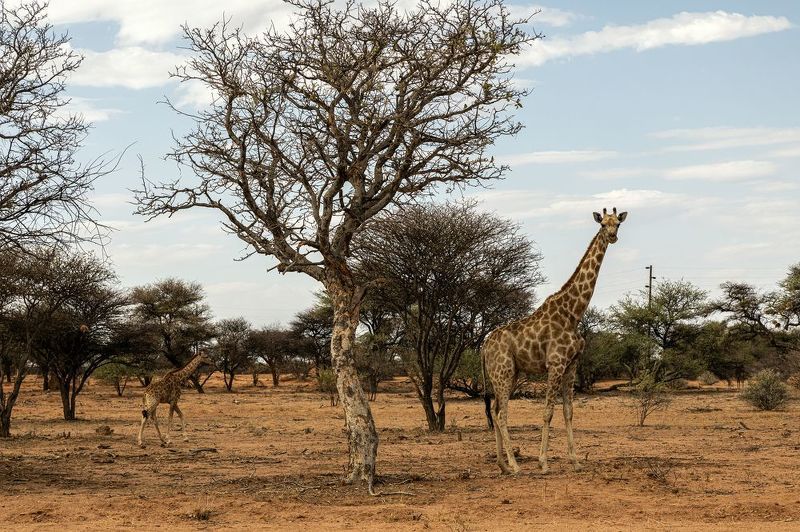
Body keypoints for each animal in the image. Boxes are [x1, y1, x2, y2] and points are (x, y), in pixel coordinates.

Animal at [482, 207, 627, 474]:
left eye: (618, 224)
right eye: (602, 224)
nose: (612, 236)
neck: (573, 313)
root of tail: (484, 345)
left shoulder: (572, 365)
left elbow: (568, 411)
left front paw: (576, 461)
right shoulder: (556, 363)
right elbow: (548, 412)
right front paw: (543, 462)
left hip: (508, 373)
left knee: (495, 410)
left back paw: (503, 465)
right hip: (503, 372)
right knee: (501, 414)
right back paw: (515, 465)